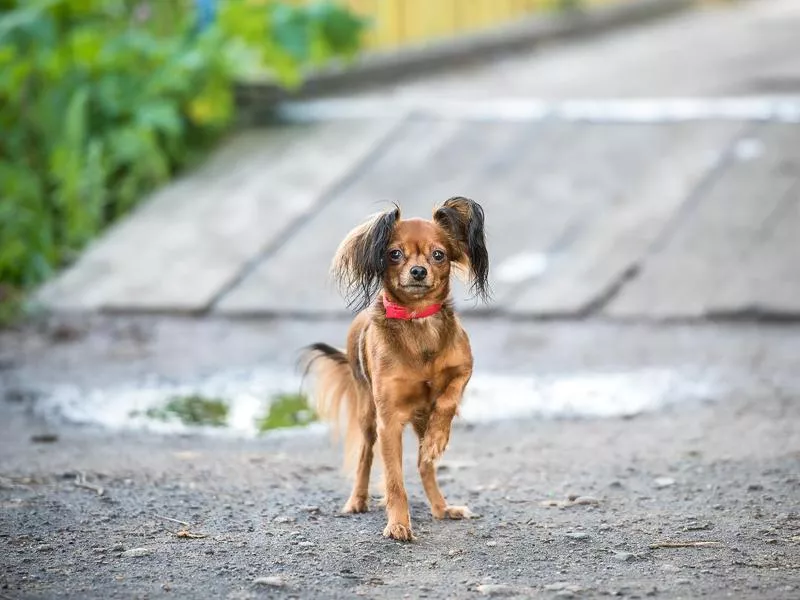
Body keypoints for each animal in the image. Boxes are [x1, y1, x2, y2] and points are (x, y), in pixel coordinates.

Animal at [302, 198, 488, 544]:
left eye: (438, 254)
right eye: (394, 254)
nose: (418, 271)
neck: (418, 319)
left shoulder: (464, 370)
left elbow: (447, 400)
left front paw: (439, 438)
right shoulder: (389, 422)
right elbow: (393, 480)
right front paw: (399, 524)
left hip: (418, 420)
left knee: (425, 466)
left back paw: (442, 507)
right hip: (368, 415)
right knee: (365, 456)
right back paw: (357, 501)